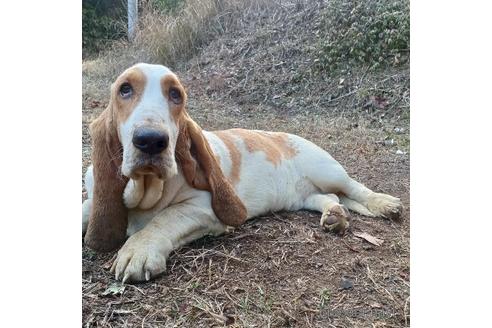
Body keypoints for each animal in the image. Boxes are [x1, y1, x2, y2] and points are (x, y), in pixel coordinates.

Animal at [81, 63, 404, 282]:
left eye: (176, 95)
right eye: (124, 89)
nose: (150, 140)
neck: (146, 189)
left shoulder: (204, 209)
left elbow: (165, 218)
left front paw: (139, 249)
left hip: (327, 170)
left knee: (353, 188)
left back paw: (384, 204)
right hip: (302, 197)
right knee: (330, 198)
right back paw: (335, 216)